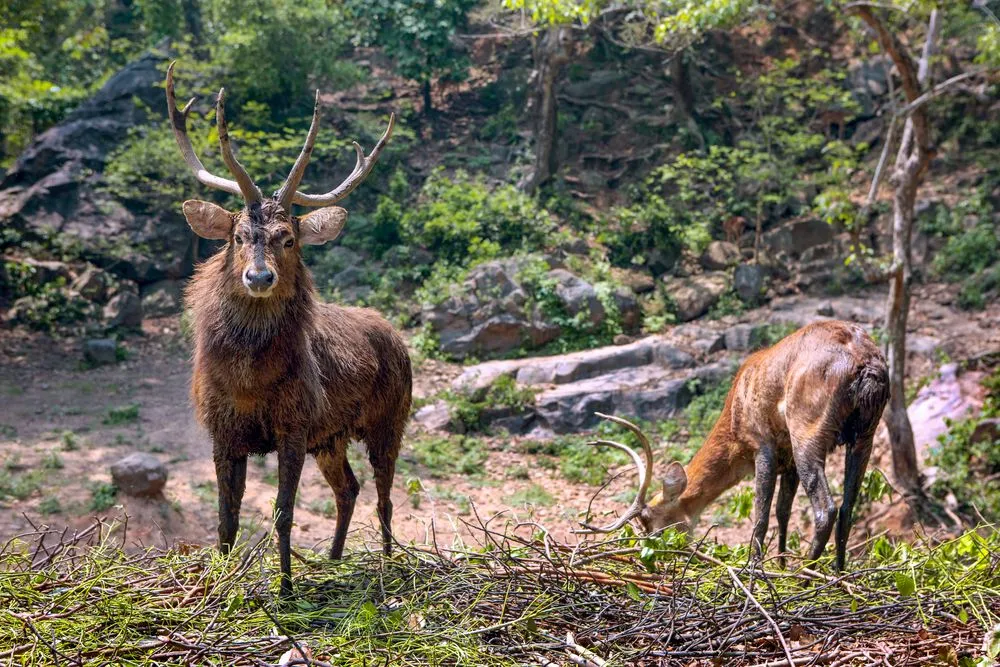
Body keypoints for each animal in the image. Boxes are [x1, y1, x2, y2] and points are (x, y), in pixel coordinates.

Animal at [165, 62, 411, 596]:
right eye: (238, 236)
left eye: (289, 239)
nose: (259, 277)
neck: (248, 385)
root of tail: (396, 335)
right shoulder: (221, 429)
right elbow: (226, 517)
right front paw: (218, 583)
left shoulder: (295, 423)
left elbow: (282, 512)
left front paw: (285, 589)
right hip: (332, 436)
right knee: (349, 488)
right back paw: (335, 562)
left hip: (391, 417)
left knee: (384, 494)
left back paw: (387, 563)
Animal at [578, 320, 889, 571]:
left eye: (653, 523)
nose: (654, 555)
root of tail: (866, 365)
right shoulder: (787, 458)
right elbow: (782, 512)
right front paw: (780, 565)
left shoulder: (762, 445)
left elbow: (761, 514)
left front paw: (756, 568)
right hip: (865, 435)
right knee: (847, 509)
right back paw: (837, 574)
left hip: (808, 431)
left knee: (826, 509)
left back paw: (804, 578)